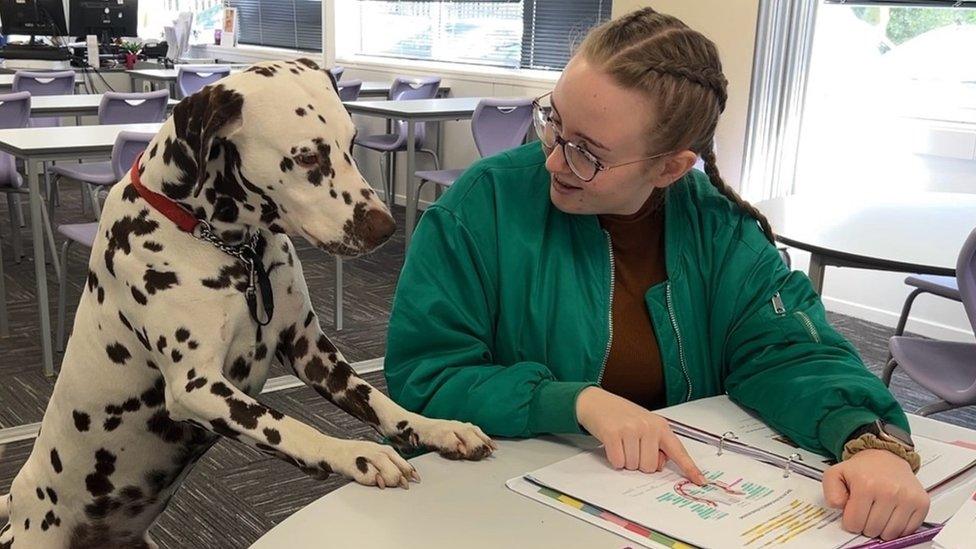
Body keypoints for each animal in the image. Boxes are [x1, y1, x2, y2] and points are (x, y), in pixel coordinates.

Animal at [0, 57, 496, 544]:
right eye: (307, 156)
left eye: (352, 143)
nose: (385, 227)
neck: (229, 247)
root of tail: (18, 498)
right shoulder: (197, 387)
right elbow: (288, 425)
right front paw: (356, 453)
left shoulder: (311, 351)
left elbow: (376, 399)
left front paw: (437, 427)